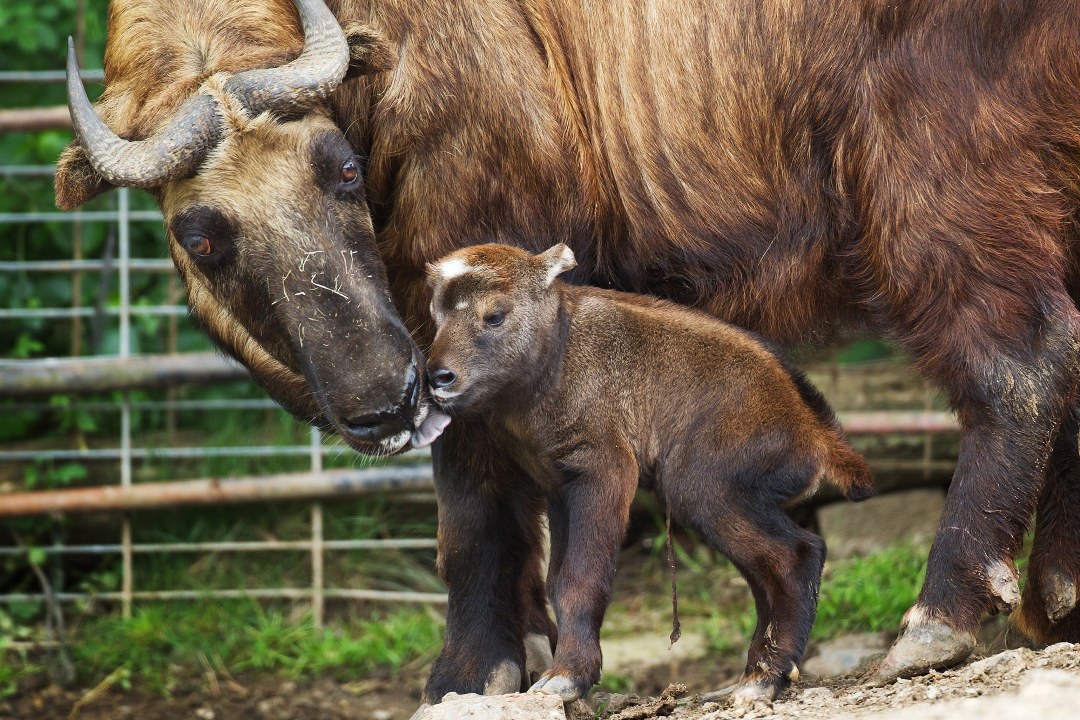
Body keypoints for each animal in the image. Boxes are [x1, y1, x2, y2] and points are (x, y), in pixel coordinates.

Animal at [423, 243, 876, 703]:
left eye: (495, 314)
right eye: (436, 314)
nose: (438, 376)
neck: (555, 359)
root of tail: (815, 434)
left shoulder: (604, 469)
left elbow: (578, 580)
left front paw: (565, 678)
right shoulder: (557, 486)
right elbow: (555, 582)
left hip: (702, 487)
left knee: (797, 554)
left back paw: (760, 680)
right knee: (768, 574)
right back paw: (752, 677)